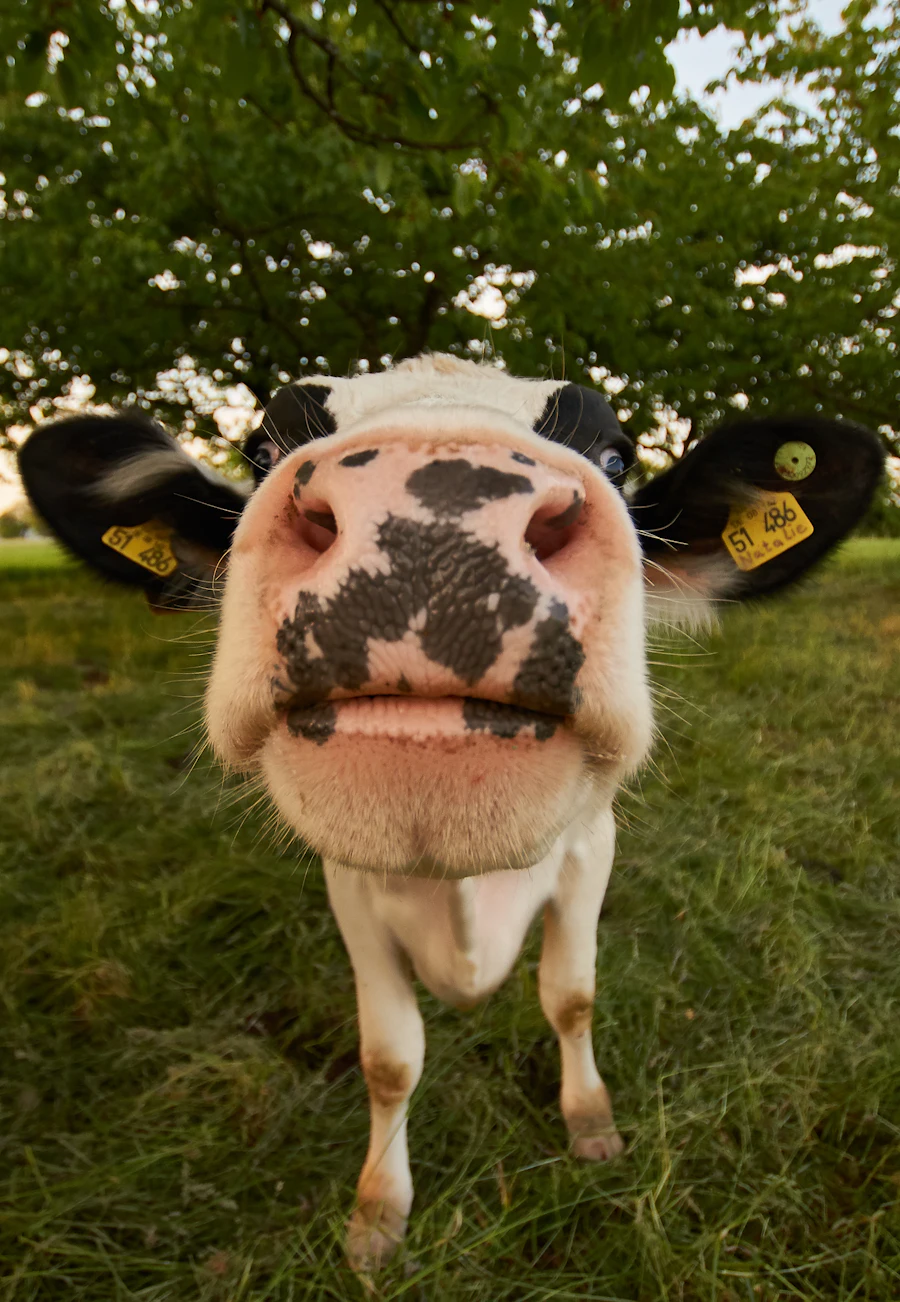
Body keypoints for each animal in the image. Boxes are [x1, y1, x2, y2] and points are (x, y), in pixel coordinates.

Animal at [19, 354, 884, 1270]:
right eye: (262, 450)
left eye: (616, 456)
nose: (430, 518)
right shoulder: (350, 887)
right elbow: (390, 1059)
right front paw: (377, 1211)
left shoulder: (591, 850)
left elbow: (571, 997)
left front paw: (590, 1121)